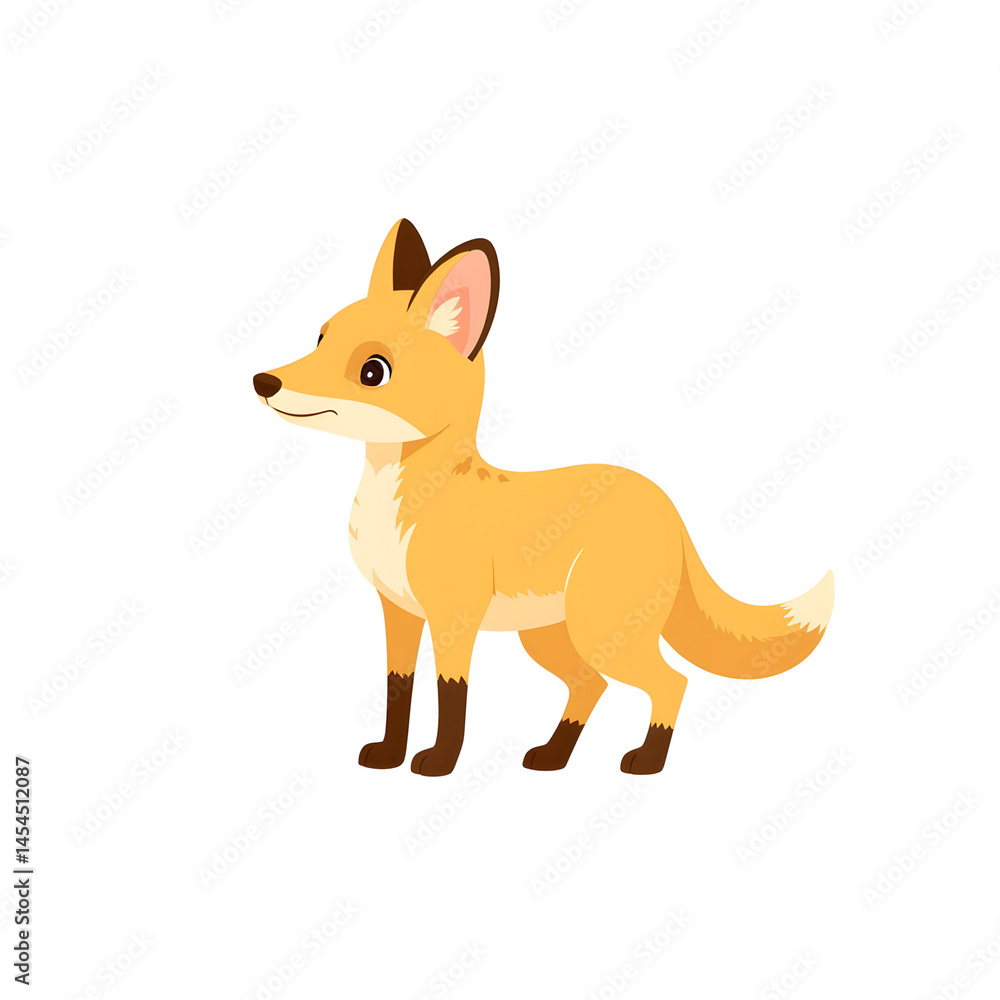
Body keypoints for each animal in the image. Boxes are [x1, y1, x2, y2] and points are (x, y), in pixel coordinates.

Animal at [253, 220, 833, 776]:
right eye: (320, 338)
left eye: (372, 371)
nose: (263, 381)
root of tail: (665, 504)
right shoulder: (398, 611)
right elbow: (400, 690)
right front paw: (390, 754)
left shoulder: (453, 618)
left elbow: (451, 696)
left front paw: (439, 763)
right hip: (553, 637)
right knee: (591, 685)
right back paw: (554, 756)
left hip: (602, 631)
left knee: (672, 682)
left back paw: (646, 762)